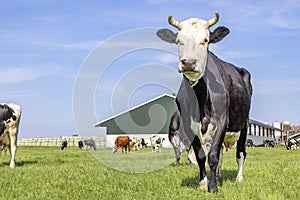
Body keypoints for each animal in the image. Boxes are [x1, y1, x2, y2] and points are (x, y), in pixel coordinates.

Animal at [157, 11, 253, 192]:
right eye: (179, 41)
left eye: (205, 40)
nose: (188, 62)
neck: (200, 99)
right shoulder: (188, 124)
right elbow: (201, 156)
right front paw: (203, 183)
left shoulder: (222, 121)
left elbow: (213, 156)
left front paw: (213, 187)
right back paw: (219, 177)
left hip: (243, 124)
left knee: (240, 154)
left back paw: (239, 178)